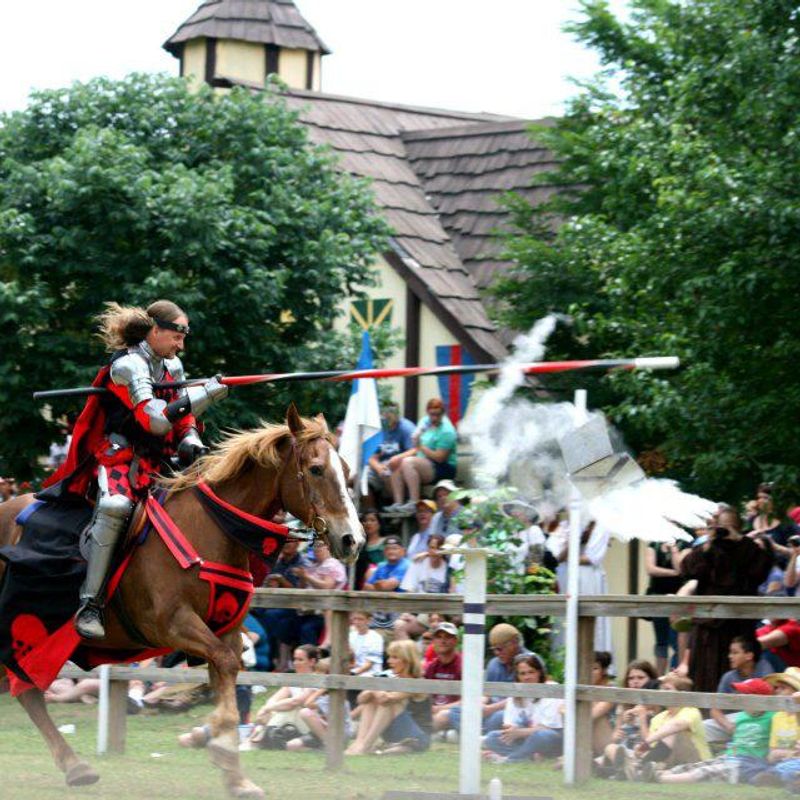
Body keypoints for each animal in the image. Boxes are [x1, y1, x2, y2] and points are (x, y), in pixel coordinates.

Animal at [0, 406, 366, 800]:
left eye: (347, 470)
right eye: (316, 469)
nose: (353, 540)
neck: (212, 529)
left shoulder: (225, 631)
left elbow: (227, 672)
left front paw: (234, 772)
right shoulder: (173, 624)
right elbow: (224, 667)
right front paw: (221, 747)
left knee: (27, 693)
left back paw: (75, 766)